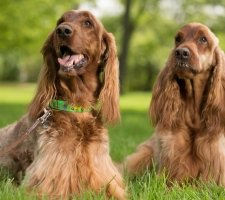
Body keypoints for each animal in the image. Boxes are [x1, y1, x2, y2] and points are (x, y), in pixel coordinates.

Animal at [0, 10, 125, 199]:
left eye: (88, 23)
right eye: (60, 21)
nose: (62, 30)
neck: (76, 108)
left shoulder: (105, 175)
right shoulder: (49, 176)